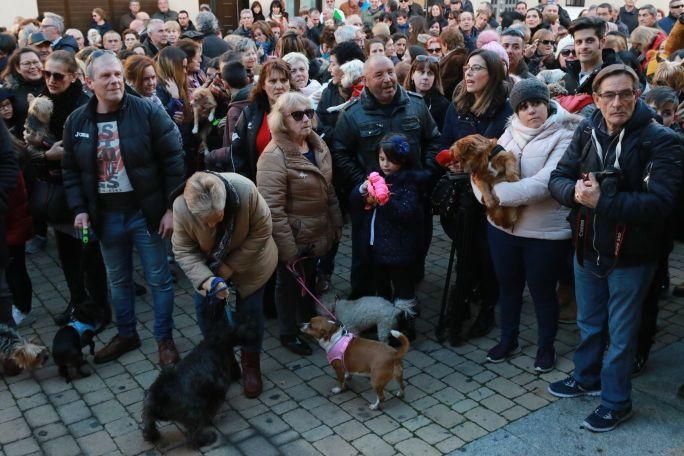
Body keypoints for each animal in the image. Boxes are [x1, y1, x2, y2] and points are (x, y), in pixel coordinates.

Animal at [142, 298, 248, 448]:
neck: (214, 342)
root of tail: (159, 397)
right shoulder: (217, 390)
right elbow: (212, 407)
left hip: (147, 408)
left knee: (148, 426)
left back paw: (152, 436)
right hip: (194, 412)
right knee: (192, 437)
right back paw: (206, 438)